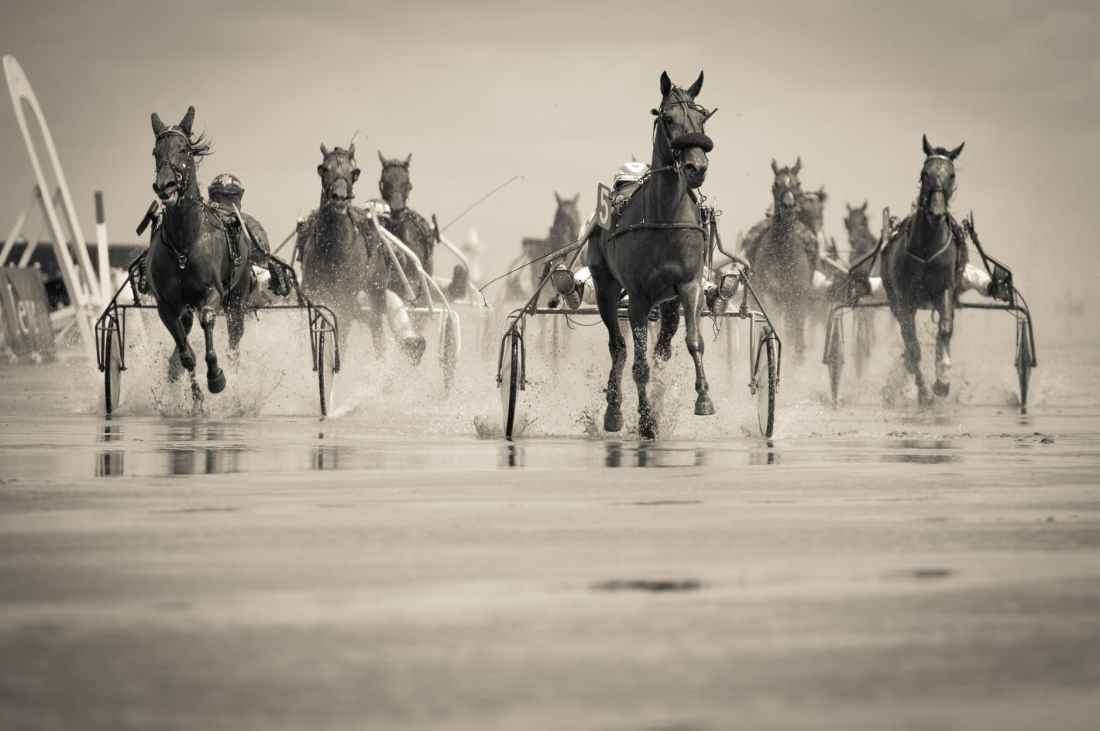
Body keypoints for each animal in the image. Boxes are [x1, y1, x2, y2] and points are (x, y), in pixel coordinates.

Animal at [147, 106, 253, 398]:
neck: (184, 243)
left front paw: (216, 377)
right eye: (155, 152)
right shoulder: (166, 307)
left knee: (234, 341)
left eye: (183, 149)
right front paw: (196, 397)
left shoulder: (212, 294)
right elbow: (186, 354)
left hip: (237, 300)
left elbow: (207, 319)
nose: (165, 186)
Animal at [587, 70, 716, 439]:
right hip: (605, 287)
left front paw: (704, 398)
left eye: (702, 117)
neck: (665, 217)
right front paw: (646, 420)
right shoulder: (639, 298)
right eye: (668, 118)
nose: (696, 167)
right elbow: (639, 364)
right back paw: (614, 410)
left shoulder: (689, 285)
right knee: (618, 347)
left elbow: (694, 341)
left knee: (665, 336)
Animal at [742, 158, 818, 362]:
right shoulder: (768, 296)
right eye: (776, 184)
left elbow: (796, 333)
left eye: (798, 183)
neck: (784, 256)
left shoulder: (798, 297)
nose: (789, 207)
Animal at [881, 135, 967, 405]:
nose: (937, 211)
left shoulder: (945, 289)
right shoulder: (904, 298)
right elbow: (913, 345)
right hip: (896, 300)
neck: (927, 249)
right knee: (908, 338)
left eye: (951, 174)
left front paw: (943, 381)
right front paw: (925, 391)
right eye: (925, 173)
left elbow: (945, 330)